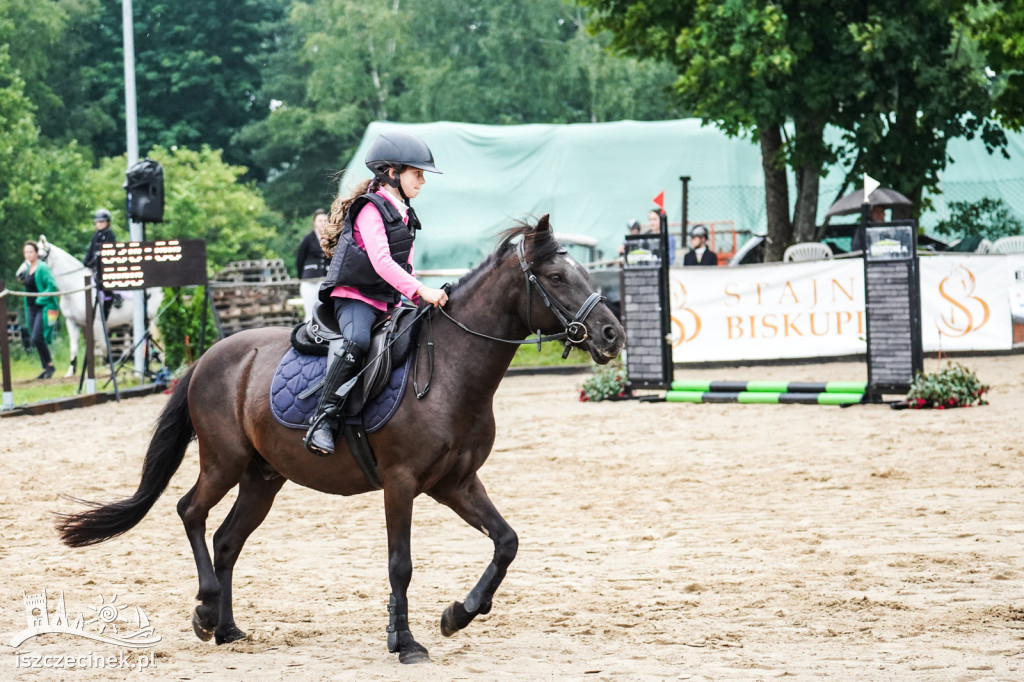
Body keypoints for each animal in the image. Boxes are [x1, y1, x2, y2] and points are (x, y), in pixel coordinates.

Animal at [35, 235, 161, 376]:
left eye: (40, 256)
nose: (28, 274)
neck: (76, 287)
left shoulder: (97, 324)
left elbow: (104, 347)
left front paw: (108, 368)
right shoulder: (72, 323)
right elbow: (74, 348)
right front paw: (71, 371)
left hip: (150, 319)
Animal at [56, 216, 622, 663]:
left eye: (584, 272)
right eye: (556, 277)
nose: (612, 335)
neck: (451, 369)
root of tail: (210, 356)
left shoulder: (456, 482)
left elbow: (506, 542)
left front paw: (458, 613)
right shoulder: (401, 484)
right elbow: (400, 565)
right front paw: (404, 642)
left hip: (263, 478)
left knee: (228, 540)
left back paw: (228, 627)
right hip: (223, 462)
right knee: (190, 513)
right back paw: (205, 611)